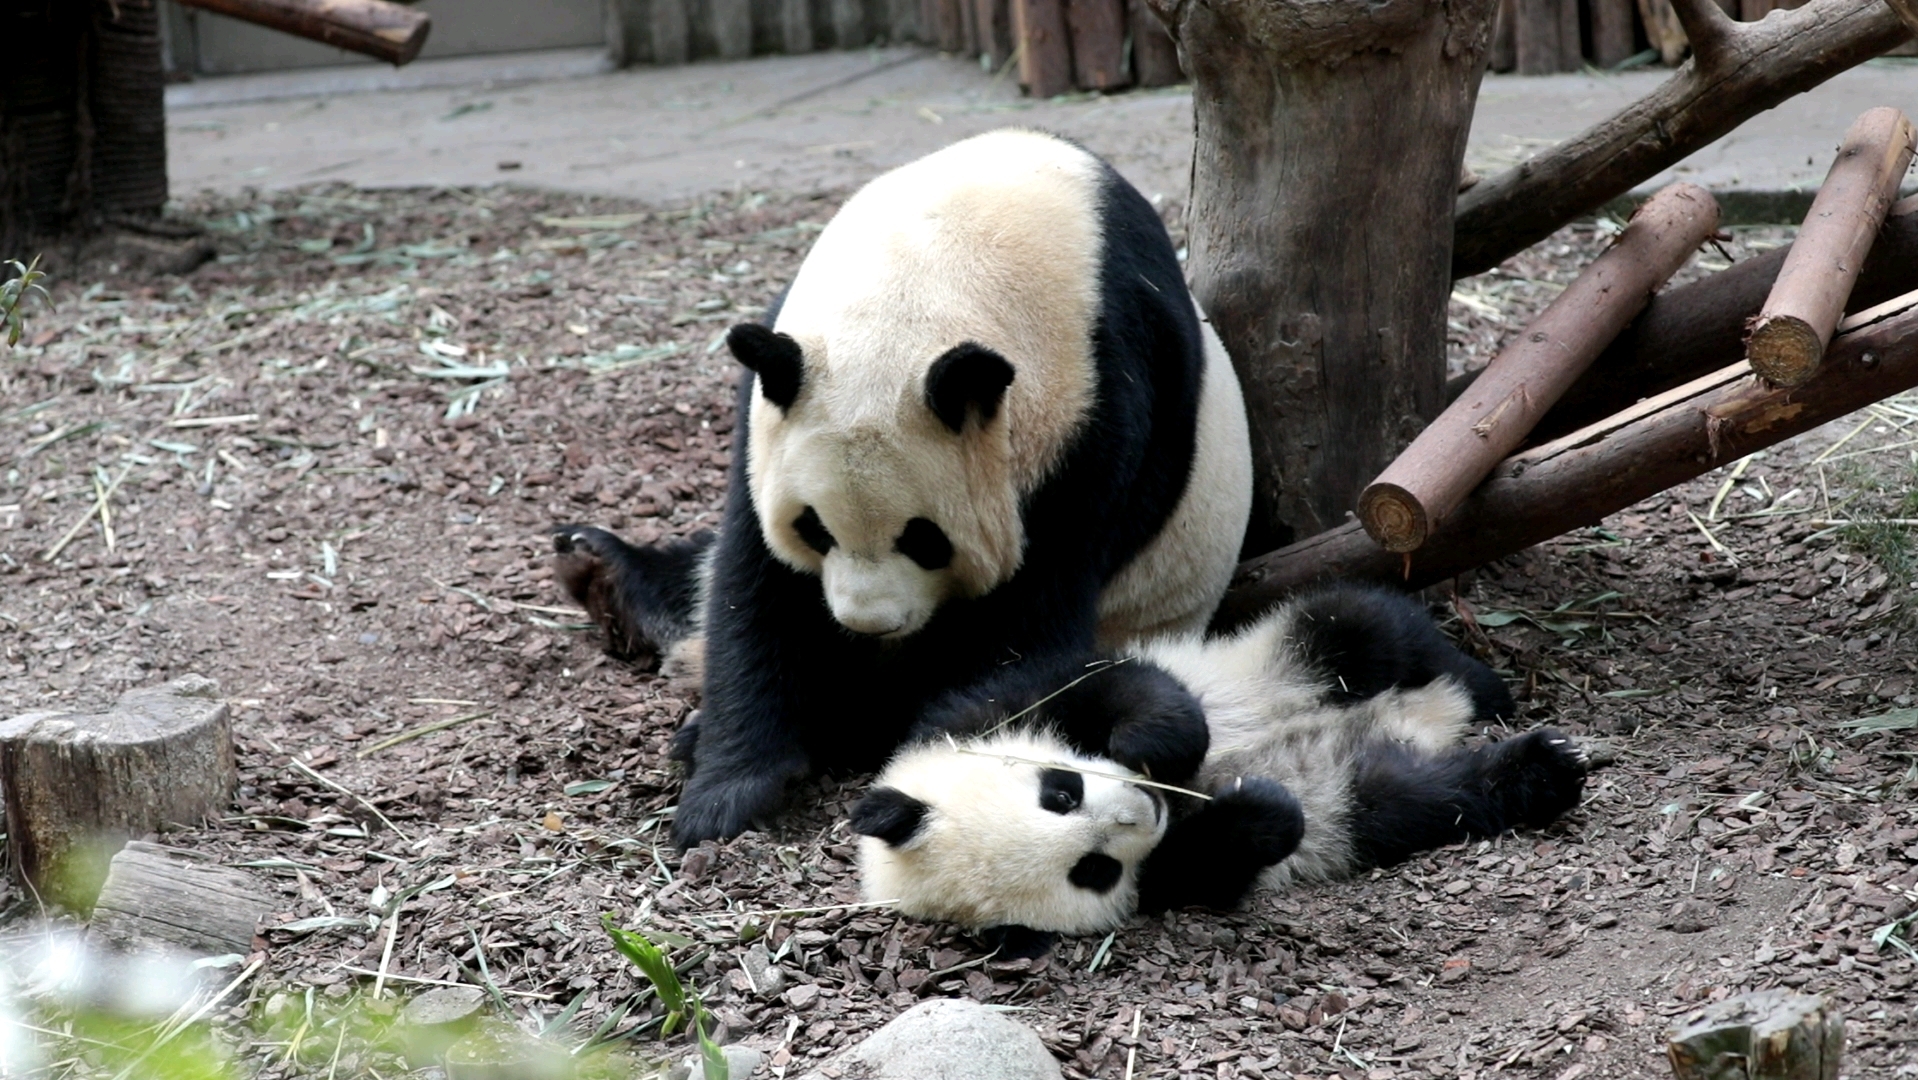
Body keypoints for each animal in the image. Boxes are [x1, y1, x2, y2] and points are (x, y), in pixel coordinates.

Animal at [552, 131, 1258, 847]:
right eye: (813, 527)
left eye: (925, 539)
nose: (868, 625)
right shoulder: (769, 405)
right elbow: (756, 585)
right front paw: (726, 788)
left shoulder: (1099, 413)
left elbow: (1020, 625)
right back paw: (602, 571)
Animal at [851, 583, 1588, 955]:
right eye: (1093, 871)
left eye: (1059, 793)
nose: (1145, 807)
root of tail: (1427, 717)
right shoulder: (1164, 882)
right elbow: (1217, 858)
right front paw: (1260, 805)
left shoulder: (980, 710)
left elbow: (1123, 686)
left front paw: (1153, 747)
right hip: (1360, 791)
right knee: (1422, 800)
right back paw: (1538, 772)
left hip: (1281, 653)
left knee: (1364, 628)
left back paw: (1486, 688)